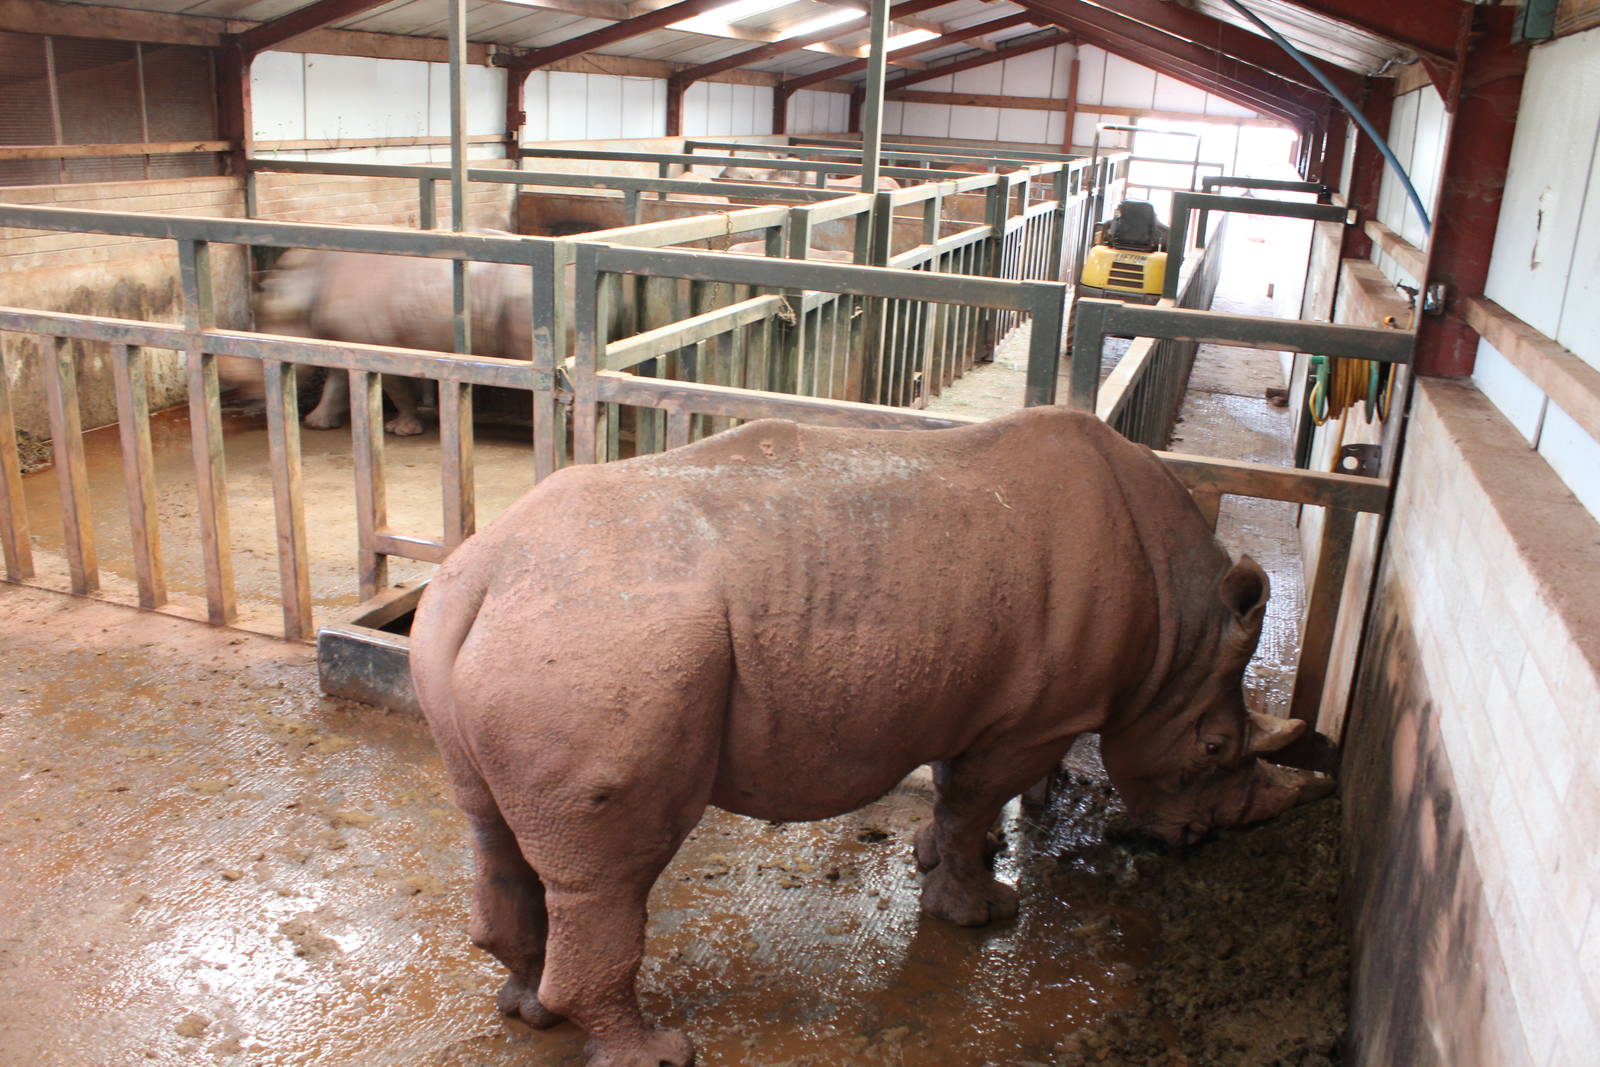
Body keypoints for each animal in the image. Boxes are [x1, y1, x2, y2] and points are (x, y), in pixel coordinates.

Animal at [408, 406, 1331, 1067]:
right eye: (1214, 750)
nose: (1197, 837)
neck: (1182, 627)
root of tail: (478, 576)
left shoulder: (975, 691)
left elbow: (958, 795)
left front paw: (938, 858)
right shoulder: (1041, 718)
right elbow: (973, 799)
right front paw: (982, 912)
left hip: (510, 631)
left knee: (494, 826)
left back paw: (527, 1009)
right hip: (607, 639)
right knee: (611, 869)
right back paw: (659, 1052)